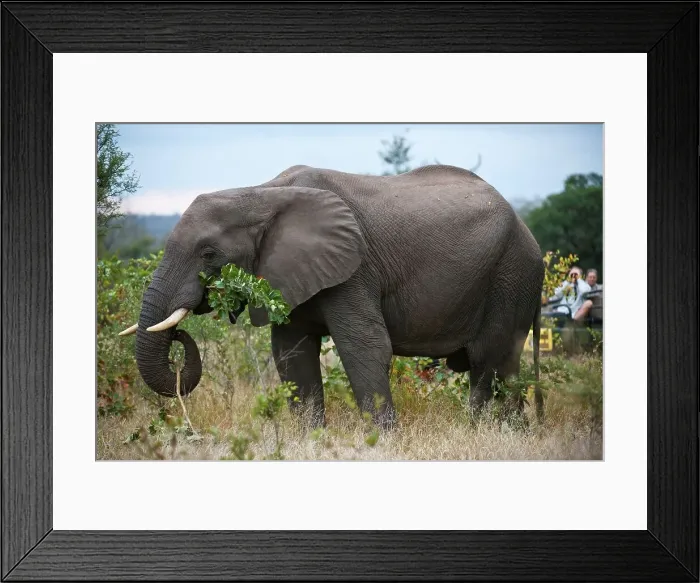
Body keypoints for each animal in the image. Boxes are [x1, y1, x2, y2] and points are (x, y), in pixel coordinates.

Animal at [120, 164, 545, 429]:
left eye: (208, 254)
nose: (179, 333)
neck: (261, 194)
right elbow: (292, 355)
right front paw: (310, 439)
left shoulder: (353, 268)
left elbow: (365, 346)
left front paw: (382, 442)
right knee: (503, 368)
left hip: (512, 274)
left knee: (487, 361)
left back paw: (479, 432)